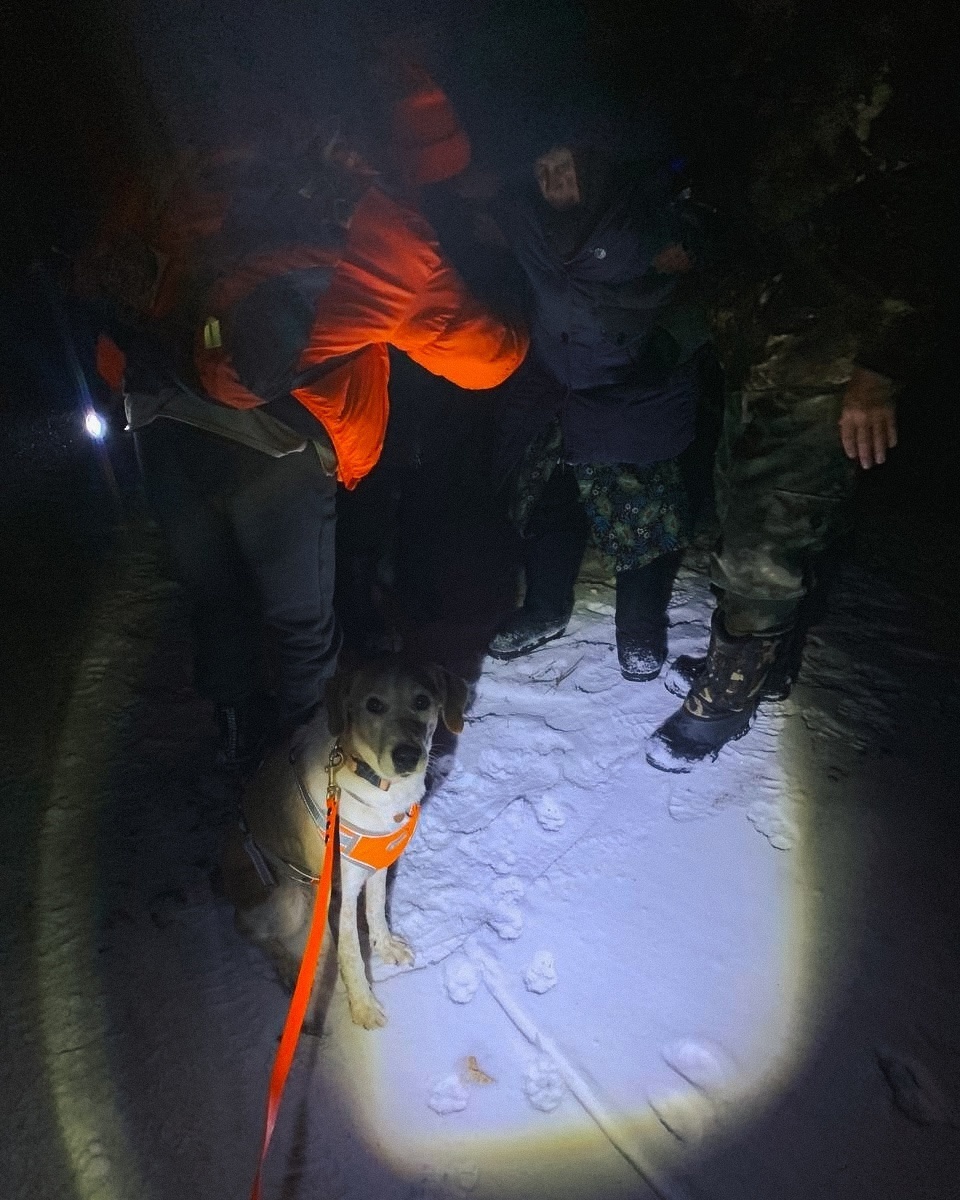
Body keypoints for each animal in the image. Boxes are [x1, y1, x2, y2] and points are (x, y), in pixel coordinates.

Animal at [222, 656, 468, 1029]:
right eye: (373, 705)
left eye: (422, 701)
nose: (407, 756)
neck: (373, 781)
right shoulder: (347, 886)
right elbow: (350, 952)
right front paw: (363, 1007)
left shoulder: (378, 862)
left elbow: (377, 910)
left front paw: (385, 947)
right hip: (288, 897)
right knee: (247, 928)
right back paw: (287, 967)